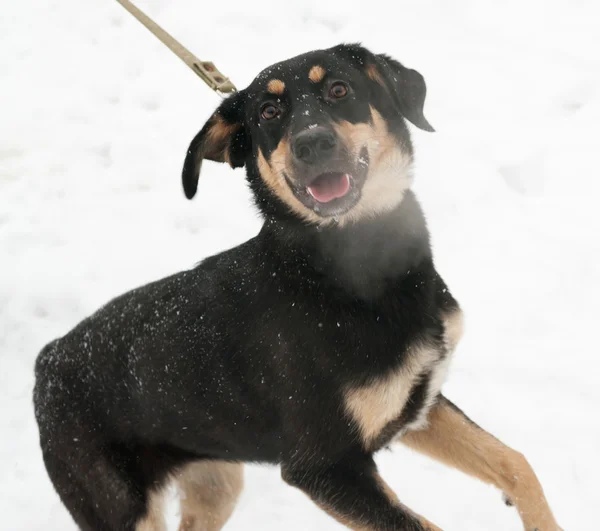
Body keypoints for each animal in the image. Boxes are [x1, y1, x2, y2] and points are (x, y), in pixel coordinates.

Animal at [32, 43, 560, 528]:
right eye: (268, 112)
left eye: (339, 89)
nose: (312, 143)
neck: (349, 269)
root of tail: (48, 360)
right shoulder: (323, 466)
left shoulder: (418, 405)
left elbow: (516, 464)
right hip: (120, 504)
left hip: (217, 480)